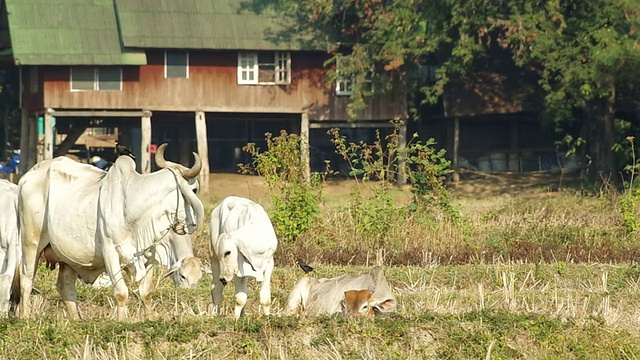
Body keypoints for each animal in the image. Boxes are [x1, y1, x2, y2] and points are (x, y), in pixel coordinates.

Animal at [17, 143, 204, 320]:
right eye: (194, 189)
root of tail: (26, 177)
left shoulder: (148, 254)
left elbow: (146, 292)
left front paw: (150, 319)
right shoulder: (110, 252)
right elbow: (121, 293)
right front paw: (121, 321)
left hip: (68, 257)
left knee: (65, 286)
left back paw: (77, 319)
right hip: (31, 242)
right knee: (26, 278)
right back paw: (25, 316)